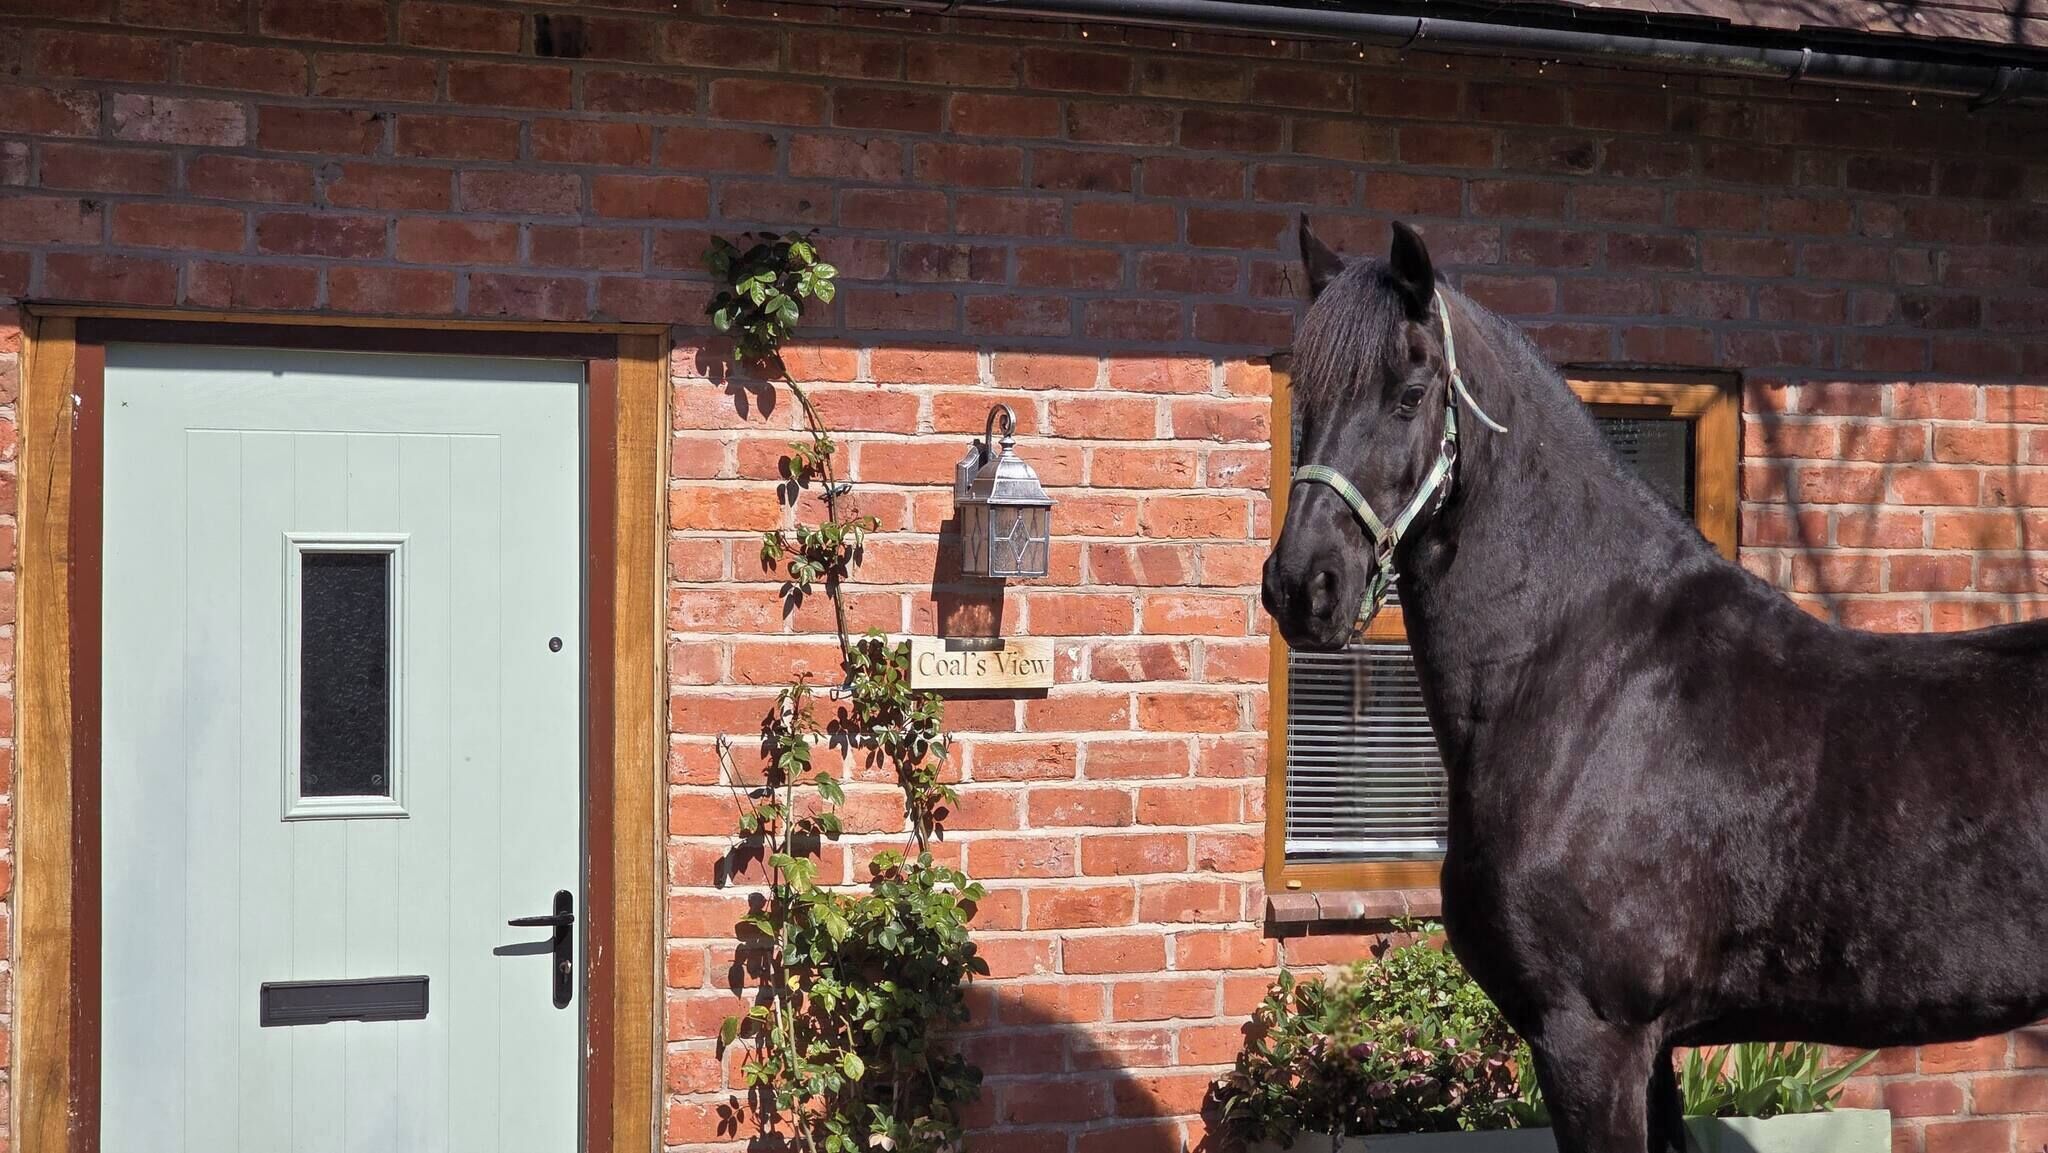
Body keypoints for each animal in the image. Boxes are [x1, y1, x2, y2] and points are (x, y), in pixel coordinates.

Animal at [1261, 218, 2048, 1153]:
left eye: (1411, 392)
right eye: (1304, 394)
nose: (1302, 585)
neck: (1590, 683)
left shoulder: (1593, 1035)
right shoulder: (1651, 1047)